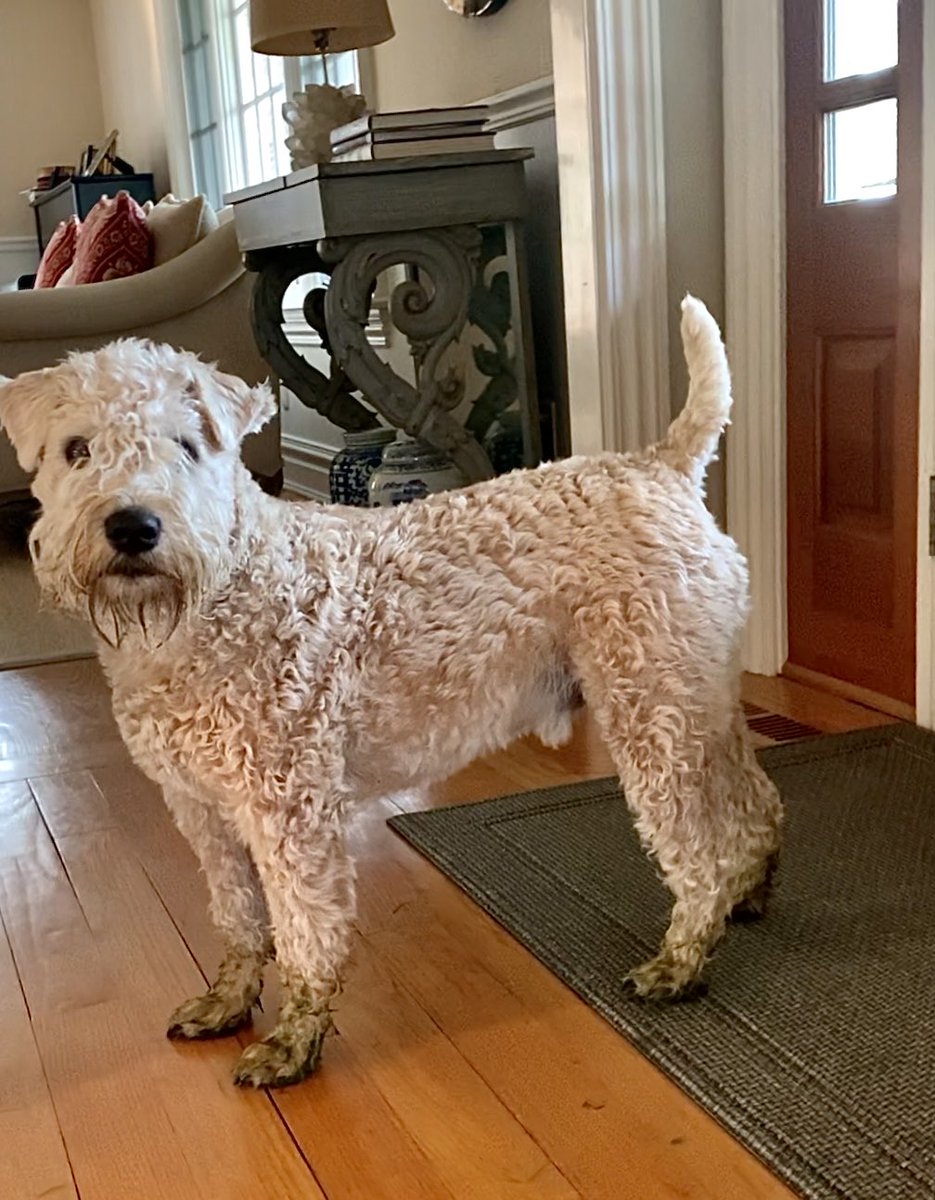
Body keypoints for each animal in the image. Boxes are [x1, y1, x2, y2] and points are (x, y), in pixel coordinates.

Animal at [0, 297, 782, 1089]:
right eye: (76, 449)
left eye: (187, 446)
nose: (133, 526)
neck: (209, 602)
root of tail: (662, 462)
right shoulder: (200, 810)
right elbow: (238, 917)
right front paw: (229, 999)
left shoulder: (289, 811)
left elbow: (305, 932)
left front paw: (295, 1040)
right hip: (696, 699)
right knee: (755, 808)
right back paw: (747, 896)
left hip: (652, 715)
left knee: (700, 852)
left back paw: (681, 961)